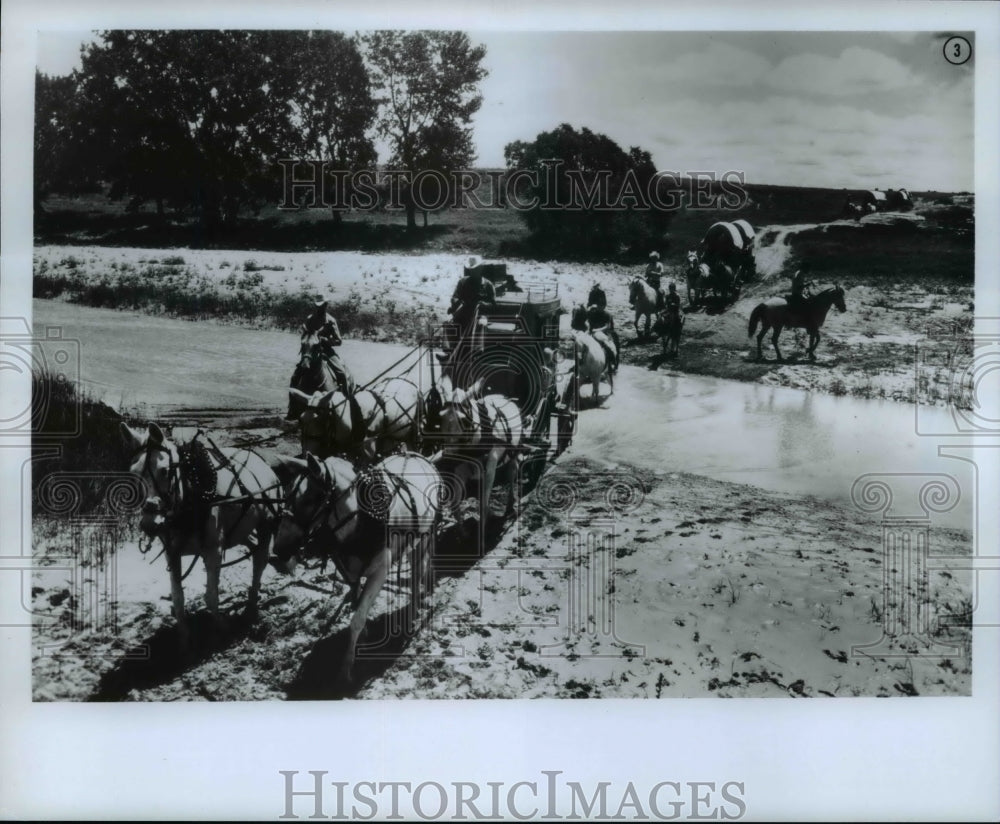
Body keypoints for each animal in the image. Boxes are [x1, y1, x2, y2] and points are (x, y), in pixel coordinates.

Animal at [122, 424, 286, 644]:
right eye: (134, 473)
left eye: (165, 471)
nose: (150, 523)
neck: (190, 494)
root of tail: (263, 463)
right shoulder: (172, 554)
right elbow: (178, 596)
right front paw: (184, 638)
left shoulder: (213, 551)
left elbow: (211, 595)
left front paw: (221, 628)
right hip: (241, 529)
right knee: (252, 545)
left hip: (266, 524)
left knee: (260, 560)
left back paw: (251, 607)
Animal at [272, 448, 440, 684]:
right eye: (286, 495)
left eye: (310, 499)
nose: (278, 552)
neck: (362, 519)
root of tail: (416, 455)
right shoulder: (347, 567)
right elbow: (356, 598)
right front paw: (364, 632)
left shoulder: (379, 572)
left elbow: (357, 618)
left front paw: (345, 668)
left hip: (423, 537)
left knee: (418, 572)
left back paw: (413, 611)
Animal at [442, 378, 528, 520]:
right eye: (440, 418)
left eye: (464, 420)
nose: (448, 458)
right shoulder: (461, 466)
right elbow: (456, 504)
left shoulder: (491, 464)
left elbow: (483, 502)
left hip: (513, 453)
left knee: (511, 473)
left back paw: (510, 506)